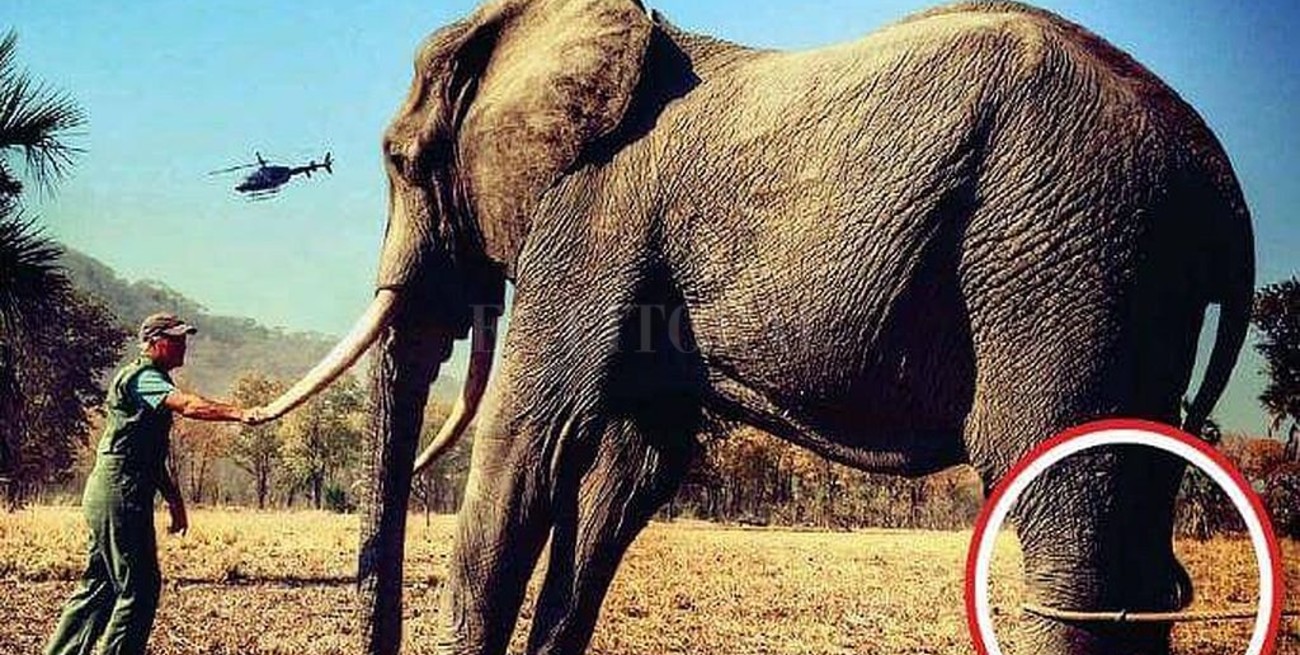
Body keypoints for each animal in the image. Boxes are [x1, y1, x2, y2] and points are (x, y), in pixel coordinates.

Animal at [260, 1, 1254, 653]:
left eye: (399, 160)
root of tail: (1218, 177)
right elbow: (632, 472)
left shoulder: (593, 215)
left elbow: (529, 440)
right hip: (1130, 288)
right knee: (1137, 544)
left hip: (1068, 258)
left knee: (1067, 532)